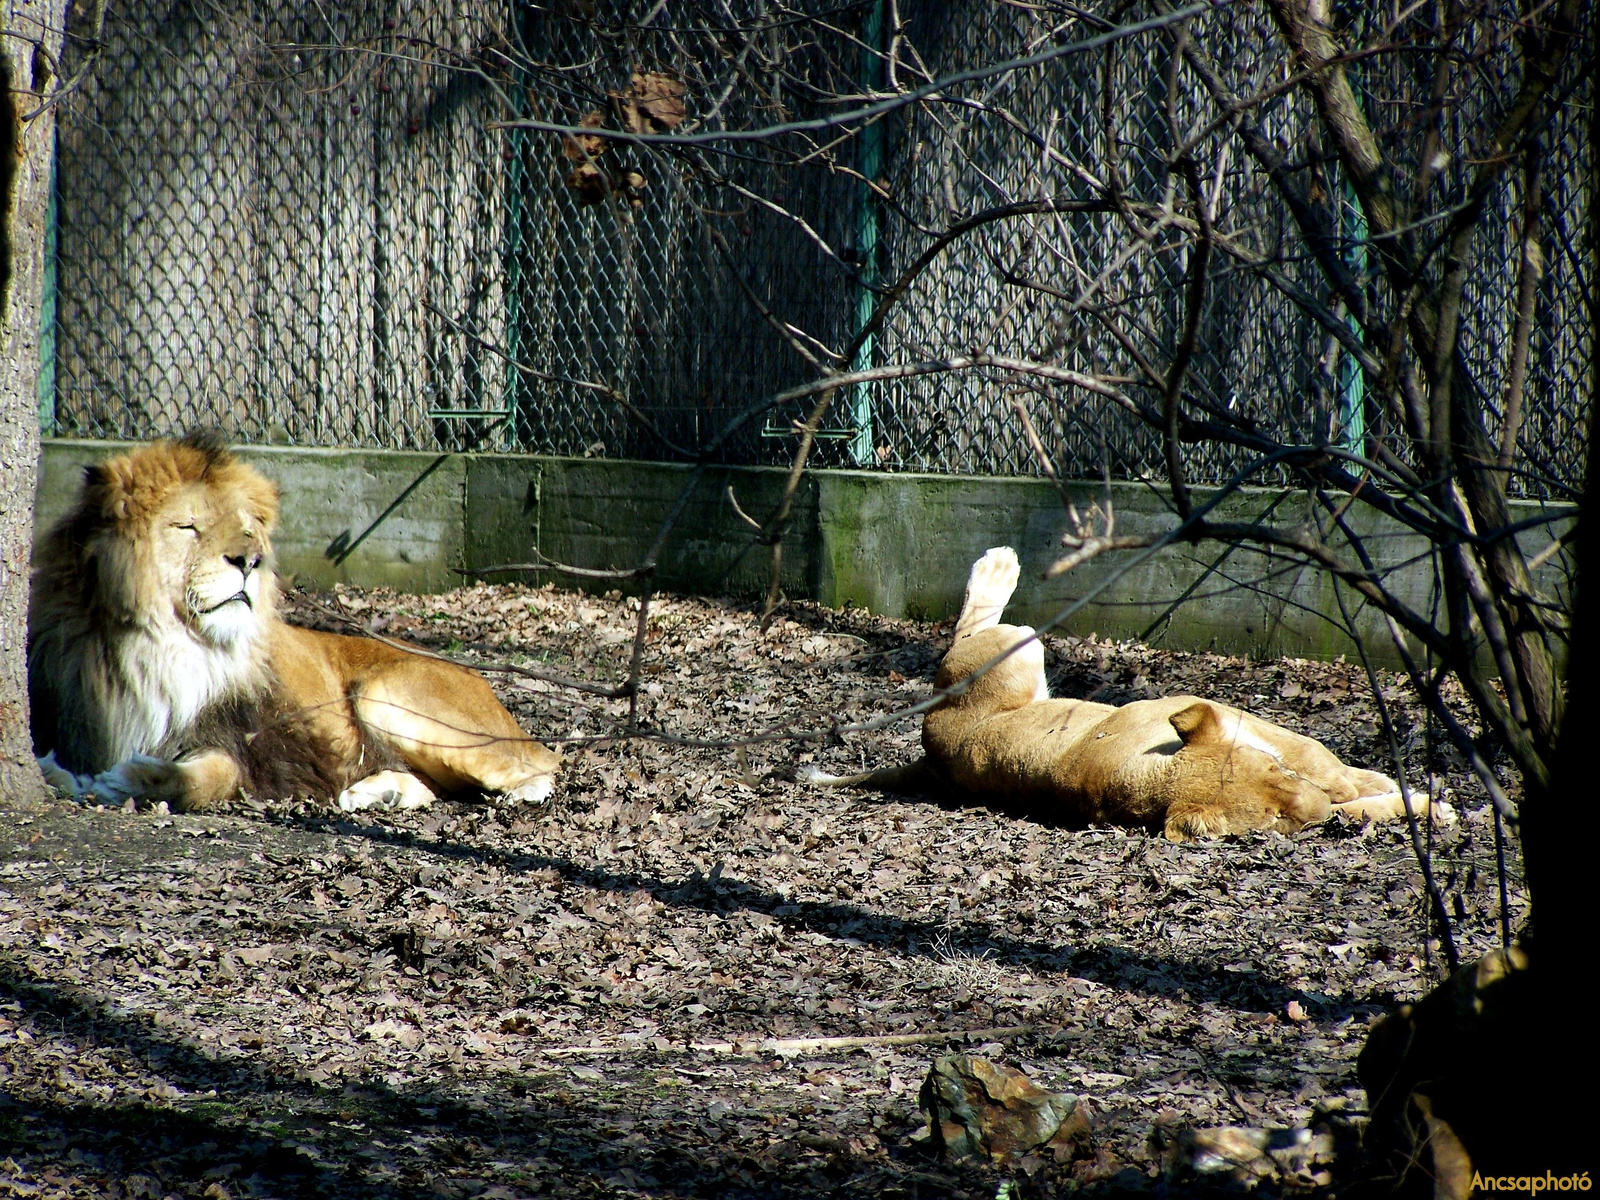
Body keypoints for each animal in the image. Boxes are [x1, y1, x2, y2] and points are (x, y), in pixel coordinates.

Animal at [29, 435, 563, 819]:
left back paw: (524, 792)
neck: (161, 645)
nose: (250, 560)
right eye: (187, 526)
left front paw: (125, 779)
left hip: (386, 695)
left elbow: (202, 780)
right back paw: (378, 793)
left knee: (538, 764)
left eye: (247, 527)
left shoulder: (233, 744)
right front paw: (66, 777)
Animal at [812, 550, 1452, 838]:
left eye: (1279, 786)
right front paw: (1424, 803)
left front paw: (1387, 789)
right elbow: (1352, 795)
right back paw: (999, 566)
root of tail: (930, 754)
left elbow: (1327, 766)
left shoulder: (1228, 718)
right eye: (1273, 820)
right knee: (967, 634)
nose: (1315, 810)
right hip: (1014, 656)